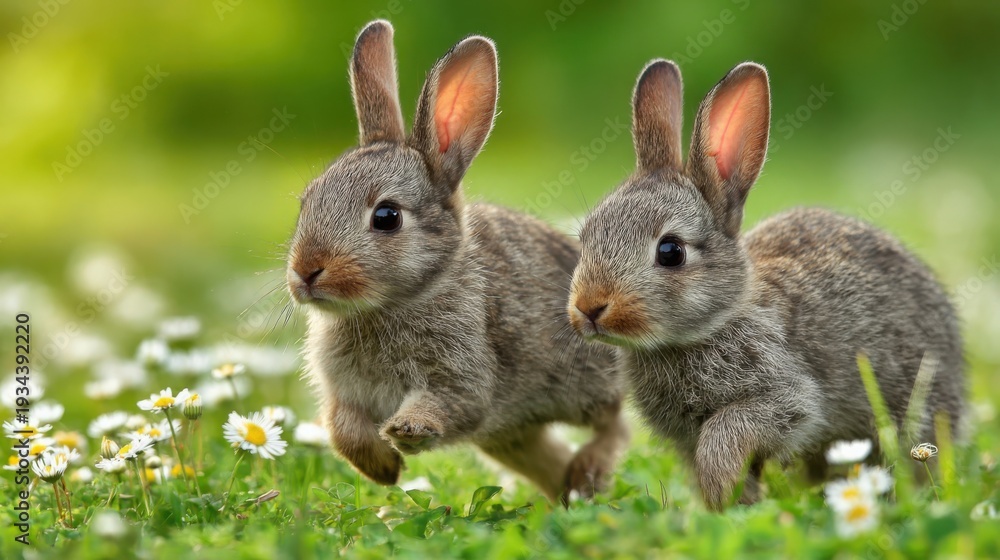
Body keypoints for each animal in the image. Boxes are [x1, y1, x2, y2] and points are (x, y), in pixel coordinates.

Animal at [285, 20, 628, 503]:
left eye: (386, 217)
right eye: (307, 202)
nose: (305, 272)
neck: (402, 299)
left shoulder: (464, 374)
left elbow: (452, 402)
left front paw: (408, 430)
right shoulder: (345, 394)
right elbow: (343, 428)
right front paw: (384, 469)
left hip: (580, 383)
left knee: (615, 423)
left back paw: (588, 473)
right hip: (508, 433)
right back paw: (569, 493)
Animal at [567, 59, 965, 510]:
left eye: (670, 251)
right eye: (586, 238)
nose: (589, 307)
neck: (709, 326)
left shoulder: (784, 397)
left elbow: (729, 432)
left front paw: (724, 491)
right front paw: (731, 505)